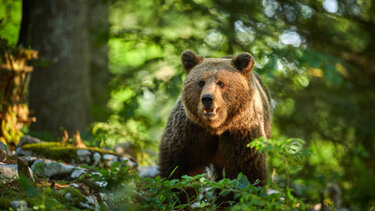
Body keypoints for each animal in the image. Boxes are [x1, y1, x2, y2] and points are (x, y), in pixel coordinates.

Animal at [158, 49, 270, 186]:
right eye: (201, 82)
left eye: (220, 82)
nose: (207, 98)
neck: (216, 127)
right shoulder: (189, 134)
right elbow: (178, 169)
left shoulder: (241, 135)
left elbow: (246, 174)